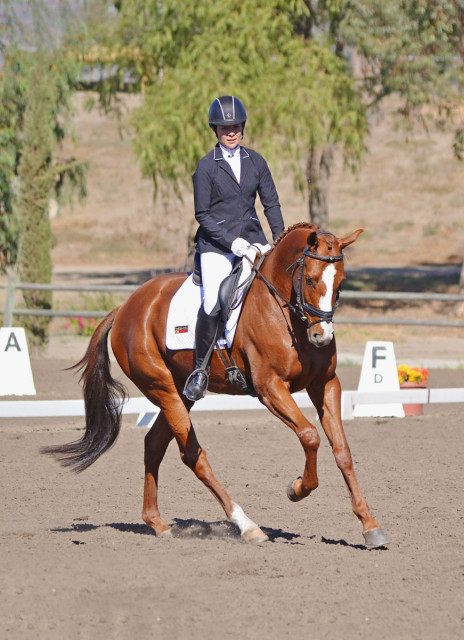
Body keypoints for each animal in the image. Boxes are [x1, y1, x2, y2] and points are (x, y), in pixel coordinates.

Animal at [44, 222, 392, 548]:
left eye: (341, 283)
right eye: (309, 280)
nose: (322, 337)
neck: (286, 313)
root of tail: (126, 307)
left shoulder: (325, 384)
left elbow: (342, 450)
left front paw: (370, 525)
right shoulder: (269, 388)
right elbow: (310, 435)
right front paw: (296, 489)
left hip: (181, 393)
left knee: (154, 444)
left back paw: (157, 523)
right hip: (163, 389)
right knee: (192, 455)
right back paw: (247, 526)